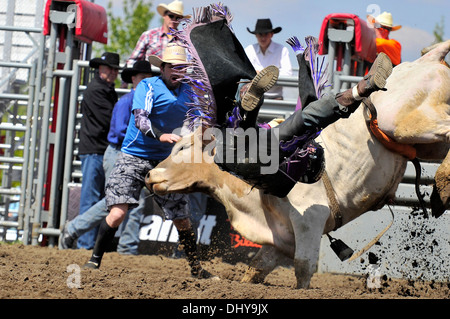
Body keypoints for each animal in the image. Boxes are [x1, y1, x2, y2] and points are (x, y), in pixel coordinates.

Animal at [146, 40, 448, 290]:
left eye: (182, 148)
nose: (150, 176)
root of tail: (426, 60)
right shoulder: (280, 240)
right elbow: (255, 268)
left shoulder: (309, 220)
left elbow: (304, 267)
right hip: (421, 140)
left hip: (406, 124)